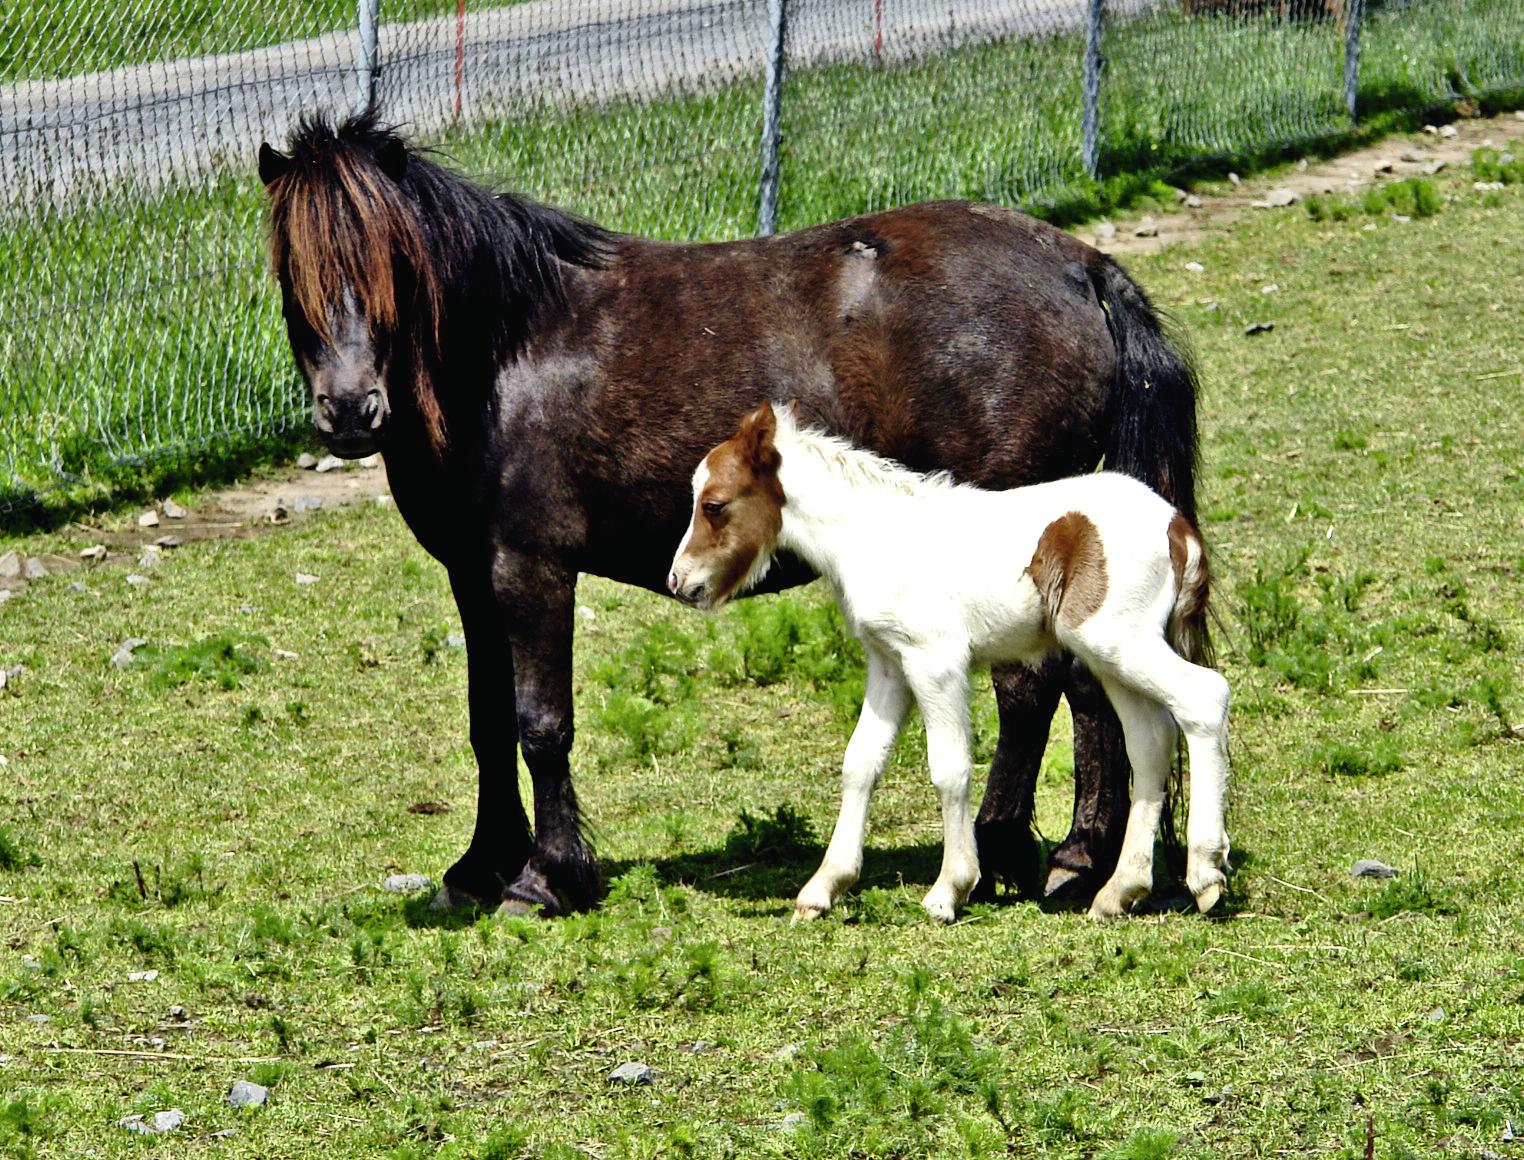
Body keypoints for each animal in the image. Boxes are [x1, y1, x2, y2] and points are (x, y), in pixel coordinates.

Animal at [673, 402, 1231, 920]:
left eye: (715, 505)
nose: (680, 582)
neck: (875, 537)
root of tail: (1177, 525)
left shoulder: (934, 661)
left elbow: (950, 766)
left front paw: (950, 889)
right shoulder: (889, 665)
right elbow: (861, 762)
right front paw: (822, 889)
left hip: (1117, 641)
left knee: (1204, 697)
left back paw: (1204, 872)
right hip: (1112, 656)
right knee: (1150, 741)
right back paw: (1120, 891)